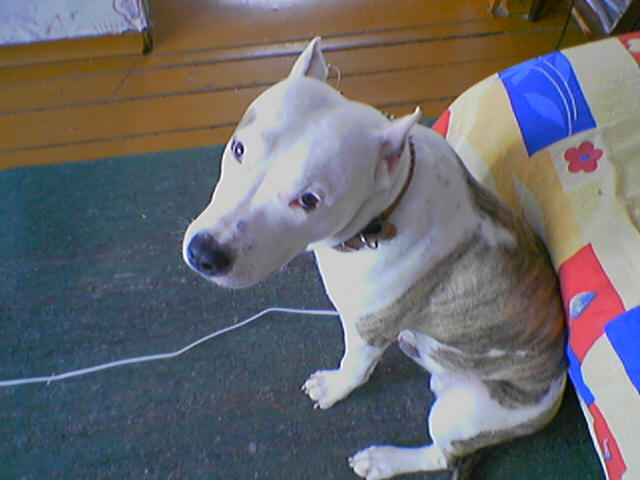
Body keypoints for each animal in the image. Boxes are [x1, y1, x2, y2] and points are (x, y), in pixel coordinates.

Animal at [182, 38, 567, 480]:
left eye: (309, 200)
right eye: (238, 148)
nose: (205, 253)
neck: (386, 210)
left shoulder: (367, 330)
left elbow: (354, 367)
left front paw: (334, 388)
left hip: (462, 409)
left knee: (442, 454)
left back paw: (384, 460)